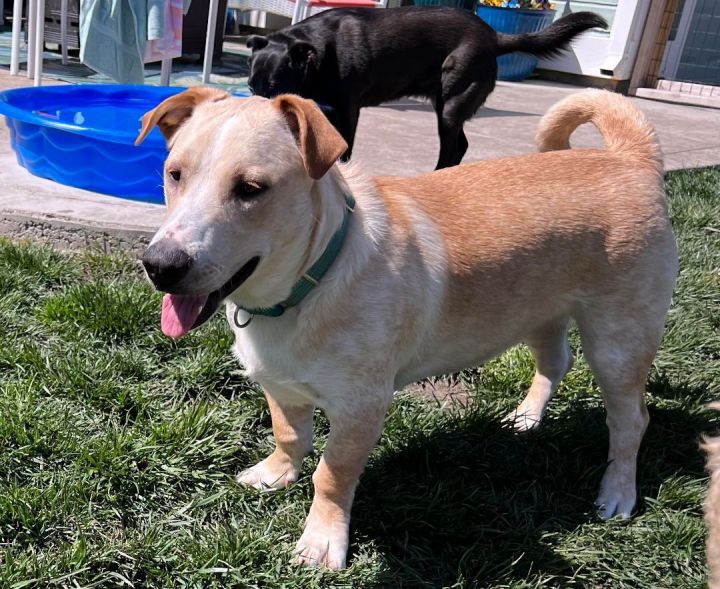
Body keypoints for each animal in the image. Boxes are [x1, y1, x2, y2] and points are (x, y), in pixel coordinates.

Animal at [136, 88, 680, 568]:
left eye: (251, 189)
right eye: (174, 174)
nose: (160, 265)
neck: (308, 282)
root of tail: (631, 159)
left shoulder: (362, 408)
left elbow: (331, 476)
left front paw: (322, 541)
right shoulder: (279, 383)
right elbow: (288, 435)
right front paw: (277, 473)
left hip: (618, 344)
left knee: (632, 421)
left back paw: (617, 493)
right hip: (538, 312)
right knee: (555, 363)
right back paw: (527, 417)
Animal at [245, 6, 604, 168]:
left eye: (276, 86)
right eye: (249, 87)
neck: (319, 52)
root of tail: (494, 36)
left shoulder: (348, 110)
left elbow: (345, 148)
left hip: (451, 104)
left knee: (452, 148)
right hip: (447, 105)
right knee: (461, 145)